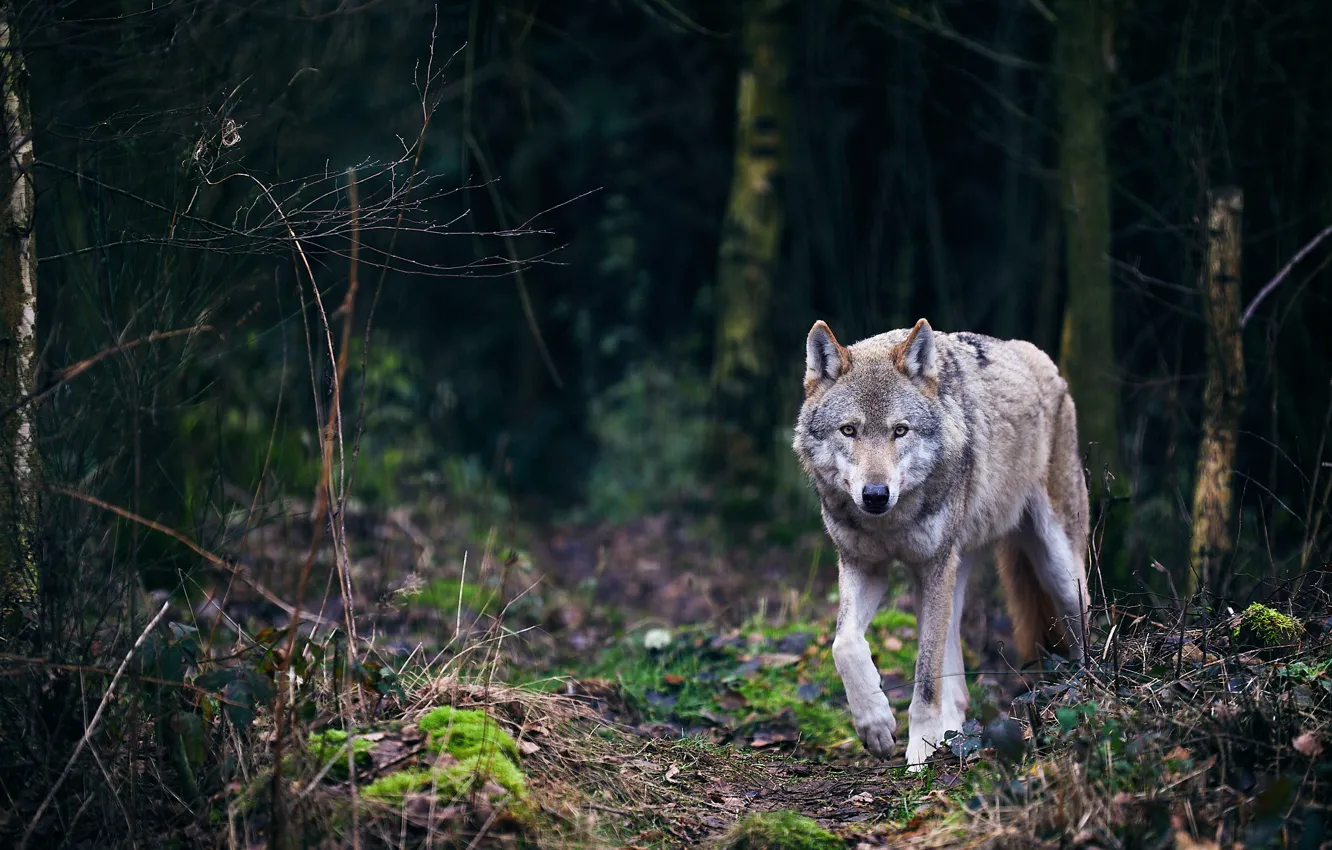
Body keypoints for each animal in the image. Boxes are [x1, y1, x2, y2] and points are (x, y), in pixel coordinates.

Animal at [792, 318, 1091, 769]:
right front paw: (876, 726)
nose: (875, 495)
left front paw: (918, 750)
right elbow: (844, 645)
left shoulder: (932, 566)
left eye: (900, 431)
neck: (891, 523)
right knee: (958, 680)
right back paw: (953, 736)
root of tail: (1043, 361)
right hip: (953, 573)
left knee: (1087, 637)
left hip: (1057, 572)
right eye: (849, 430)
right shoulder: (864, 565)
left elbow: (926, 678)